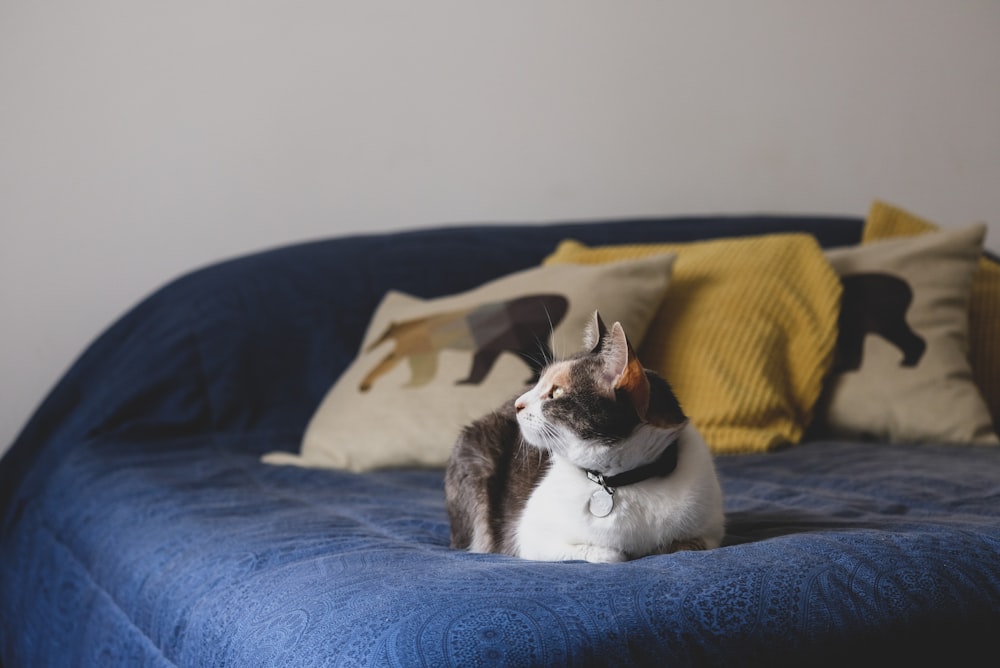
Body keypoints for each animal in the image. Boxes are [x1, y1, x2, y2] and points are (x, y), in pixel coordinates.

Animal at [448, 314, 728, 564]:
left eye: (556, 392)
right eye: (538, 382)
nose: (518, 403)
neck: (624, 480)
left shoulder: (710, 533)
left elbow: (686, 545)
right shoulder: (529, 538)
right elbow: (610, 555)